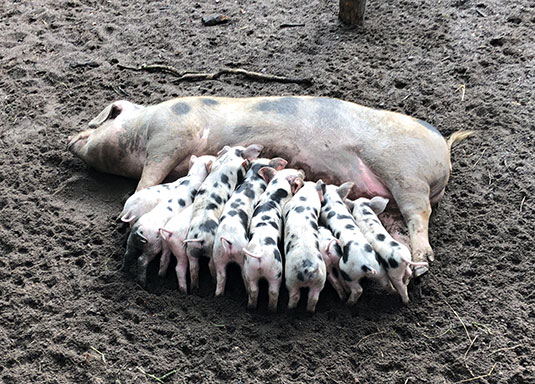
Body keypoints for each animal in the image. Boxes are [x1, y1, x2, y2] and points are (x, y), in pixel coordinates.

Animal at [185, 146, 264, 290]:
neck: (227, 160)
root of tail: (199, 236)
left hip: (191, 250)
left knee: (194, 268)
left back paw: (194, 288)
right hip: (211, 250)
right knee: (212, 267)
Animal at [213, 156, 288, 296]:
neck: (254, 175)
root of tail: (229, 241)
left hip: (218, 255)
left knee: (221, 277)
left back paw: (218, 295)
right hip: (242, 256)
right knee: (244, 276)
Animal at [244, 168, 306, 312]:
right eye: (298, 175)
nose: (302, 171)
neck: (274, 194)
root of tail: (260, 255)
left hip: (250, 270)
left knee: (253, 290)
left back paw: (251, 307)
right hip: (276, 272)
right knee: (273, 292)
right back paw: (272, 310)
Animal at [284, 180, 326, 312]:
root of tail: (310, 269)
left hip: (291, 279)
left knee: (295, 296)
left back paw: (289, 309)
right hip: (320, 280)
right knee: (313, 298)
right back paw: (309, 311)